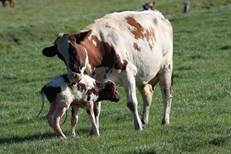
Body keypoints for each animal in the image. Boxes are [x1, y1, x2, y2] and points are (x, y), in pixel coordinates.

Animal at [41, 9, 172, 131]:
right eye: (60, 56)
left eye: (73, 50)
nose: (73, 76)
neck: (101, 48)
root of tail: (157, 14)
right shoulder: (96, 82)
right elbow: (95, 108)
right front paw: (94, 130)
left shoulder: (128, 73)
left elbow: (132, 103)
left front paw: (138, 126)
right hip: (142, 76)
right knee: (147, 95)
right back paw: (144, 120)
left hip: (166, 67)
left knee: (167, 93)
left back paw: (165, 120)